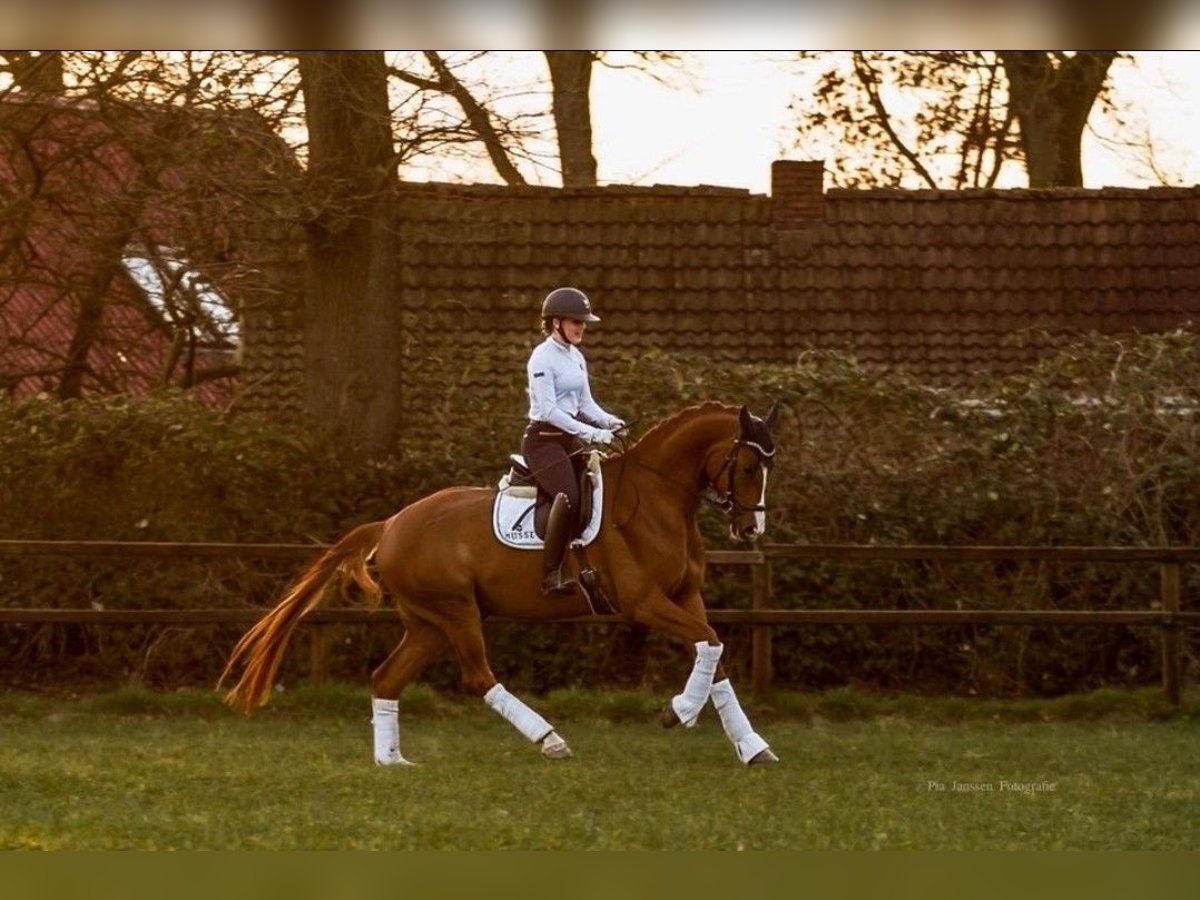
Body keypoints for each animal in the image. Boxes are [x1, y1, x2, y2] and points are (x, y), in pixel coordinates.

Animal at [219, 400, 782, 768]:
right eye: (748, 464)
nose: (752, 530)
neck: (657, 498)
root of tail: (392, 523)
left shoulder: (685, 597)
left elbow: (716, 654)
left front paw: (752, 748)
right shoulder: (643, 603)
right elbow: (709, 643)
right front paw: (677, 713)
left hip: (429, 623)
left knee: (386, 678)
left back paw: (392, 762)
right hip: (457, 612)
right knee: (478, 677)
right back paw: (549, 739)